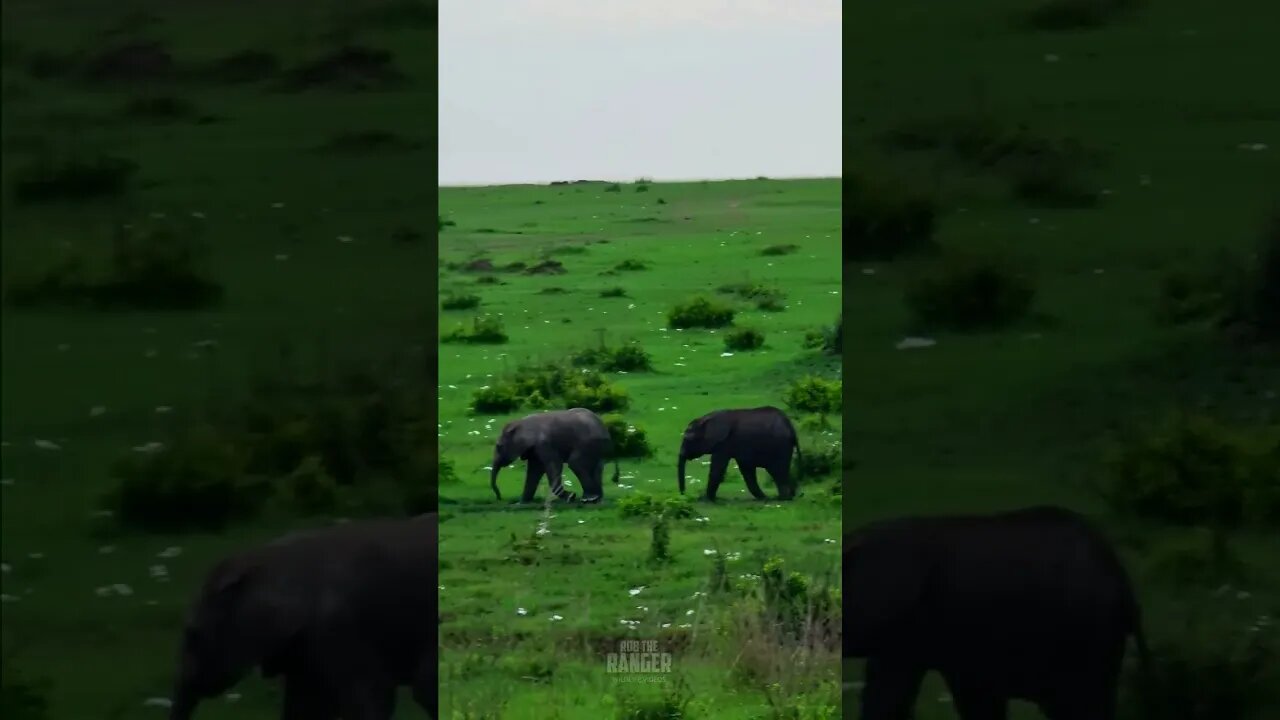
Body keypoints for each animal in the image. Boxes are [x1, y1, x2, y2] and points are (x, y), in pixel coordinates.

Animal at [488, 407, 619, 502]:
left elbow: (553, 465)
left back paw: (589, 498)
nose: (499, 497)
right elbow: (534, 471)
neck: (520, 423)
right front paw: (521, 502)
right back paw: (596, 498)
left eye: (499, 447)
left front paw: (571, 497)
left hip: (588, 444)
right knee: (596, 468)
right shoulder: (535, 449)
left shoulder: (544, 444)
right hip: (597, 447)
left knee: (575, 463)